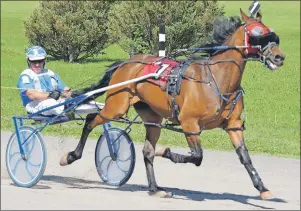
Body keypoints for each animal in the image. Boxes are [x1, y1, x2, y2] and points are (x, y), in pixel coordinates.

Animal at [58, 8, 284, 199]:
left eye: (272, 34)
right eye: (258, 33)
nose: (279, 57)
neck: (216, 80)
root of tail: (126, 63)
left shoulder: (234, 125)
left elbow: (245, 157)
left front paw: (262, 188)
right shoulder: (189, 124)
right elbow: (197, 156)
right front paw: (165, 152)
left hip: (152, 117)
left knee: (147, 151)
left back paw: (154, 188)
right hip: (116, 106)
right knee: (90, 119)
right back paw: (70, 156)